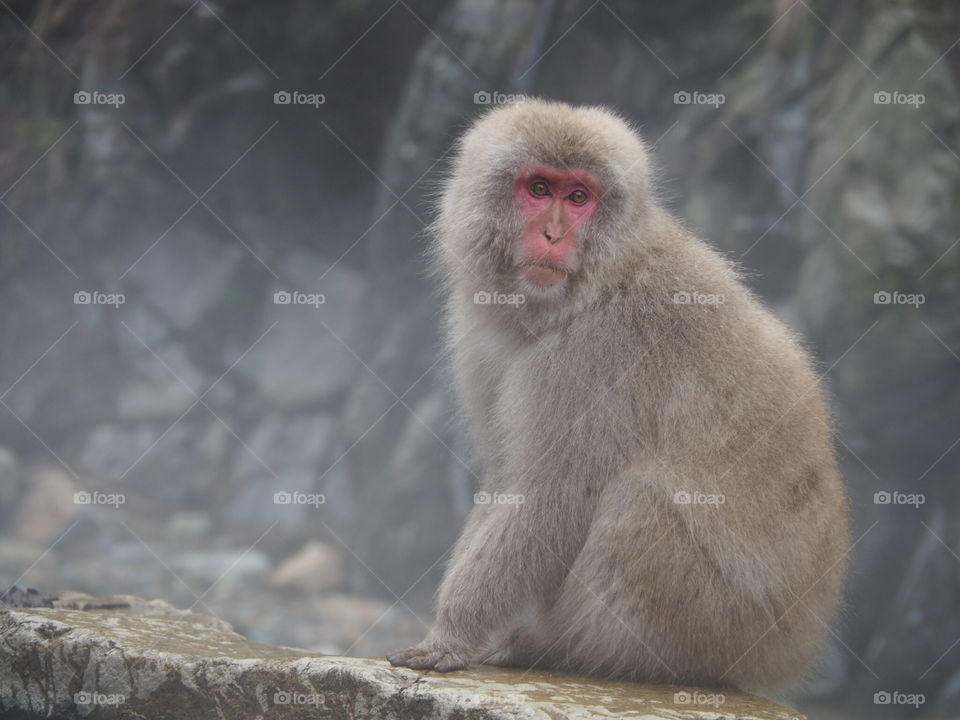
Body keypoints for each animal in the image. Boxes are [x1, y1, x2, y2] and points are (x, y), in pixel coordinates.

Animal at [387, 99, 850, 697]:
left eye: (579, 198)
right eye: (539, 188)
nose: (554, 235)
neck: (590, 287)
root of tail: (786, 653)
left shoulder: (596, 353)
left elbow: (553, 498)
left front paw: (451, 634)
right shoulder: (483, 340)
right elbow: (507, 479)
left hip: (718, 624)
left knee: (639, 497)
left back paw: (560, 648)